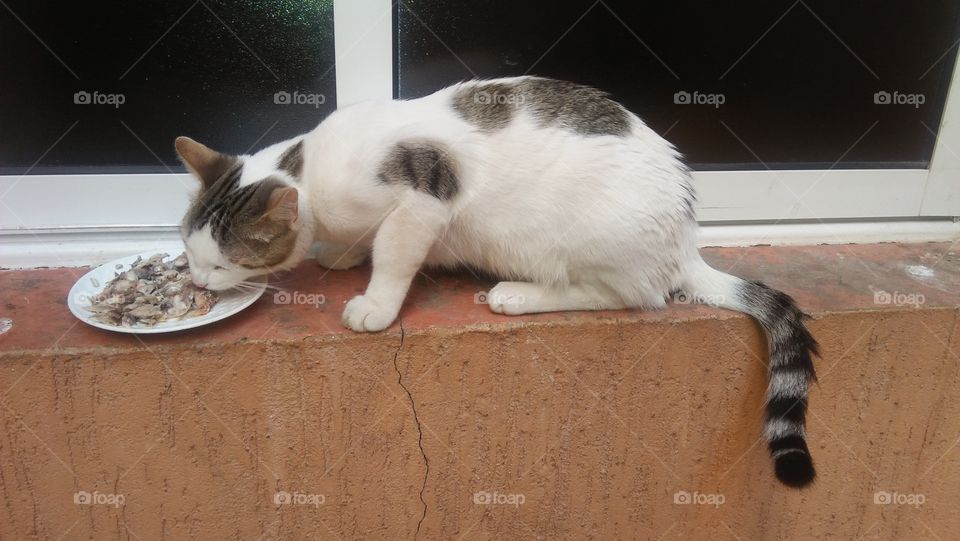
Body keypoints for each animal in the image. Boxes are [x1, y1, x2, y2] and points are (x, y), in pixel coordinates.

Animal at [172, 75, 816, 486]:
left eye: (222, 263)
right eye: (189, 249)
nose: (200, 282)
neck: (311, 172)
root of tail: (684, 234)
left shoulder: (423, 200)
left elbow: (393, 255)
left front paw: (374, 303)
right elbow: (362, 242)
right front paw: (343, 254)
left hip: (582, 242)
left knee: (628, 295)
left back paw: (519, 295)